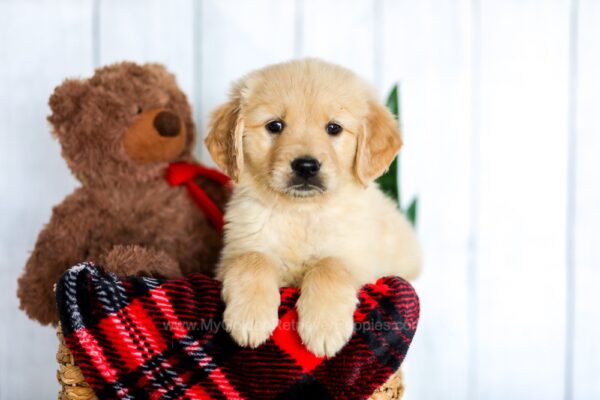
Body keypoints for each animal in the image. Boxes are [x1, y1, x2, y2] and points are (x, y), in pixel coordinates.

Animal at [206, 58, 422, 356]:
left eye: (334, 128)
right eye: (275, 125)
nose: (306, 166)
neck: (302, 211)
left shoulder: (360, 259)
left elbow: (330, 265)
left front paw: (324, 328)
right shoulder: (231, 254)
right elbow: (253, 258)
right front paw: (250, 318)